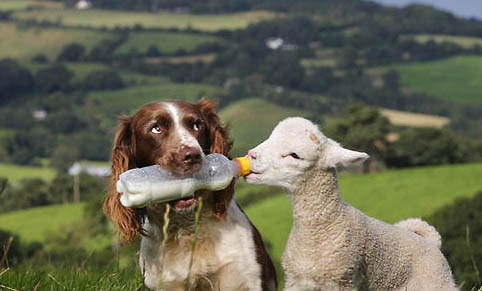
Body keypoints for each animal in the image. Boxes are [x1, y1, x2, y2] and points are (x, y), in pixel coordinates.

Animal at [245, 117, 456, 290]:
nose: (251, 155)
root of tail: (432, 242)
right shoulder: (296, 281)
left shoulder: (342, 280)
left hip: (437, 282)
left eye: (295, 155)